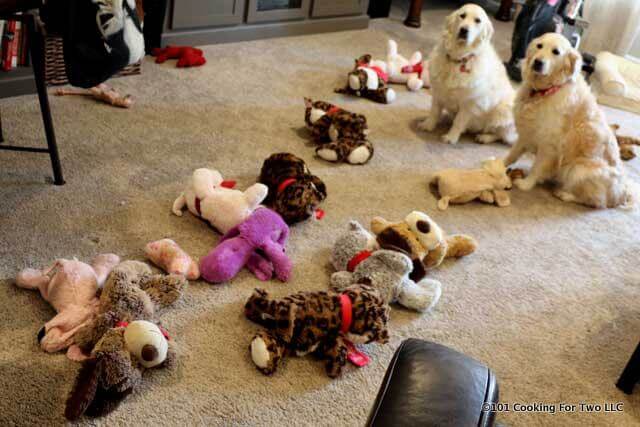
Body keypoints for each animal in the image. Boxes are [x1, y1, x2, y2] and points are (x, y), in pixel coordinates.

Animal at [418, 3, 516, 145]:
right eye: (462, 15)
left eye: (477, 21)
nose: (464, 30)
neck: (459, 58)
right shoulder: (438, 91)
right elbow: (434, 111)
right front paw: (428, 125)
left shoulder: (470, 103)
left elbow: (458, 122)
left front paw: (451, 137)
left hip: (503, 110)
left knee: (503, 136)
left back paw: (485, 137)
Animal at [504, 32, 636, 210]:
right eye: (539, 46)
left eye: (556, 52)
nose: (538, 62)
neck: (546, 91)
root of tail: (623, 194)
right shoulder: (526, 134)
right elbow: (512, 155)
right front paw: (497, 165)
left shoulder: (549, 146)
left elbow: (537, 168)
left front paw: (525, 184)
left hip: (578, 169)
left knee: (595, 202)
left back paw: (565, 194)